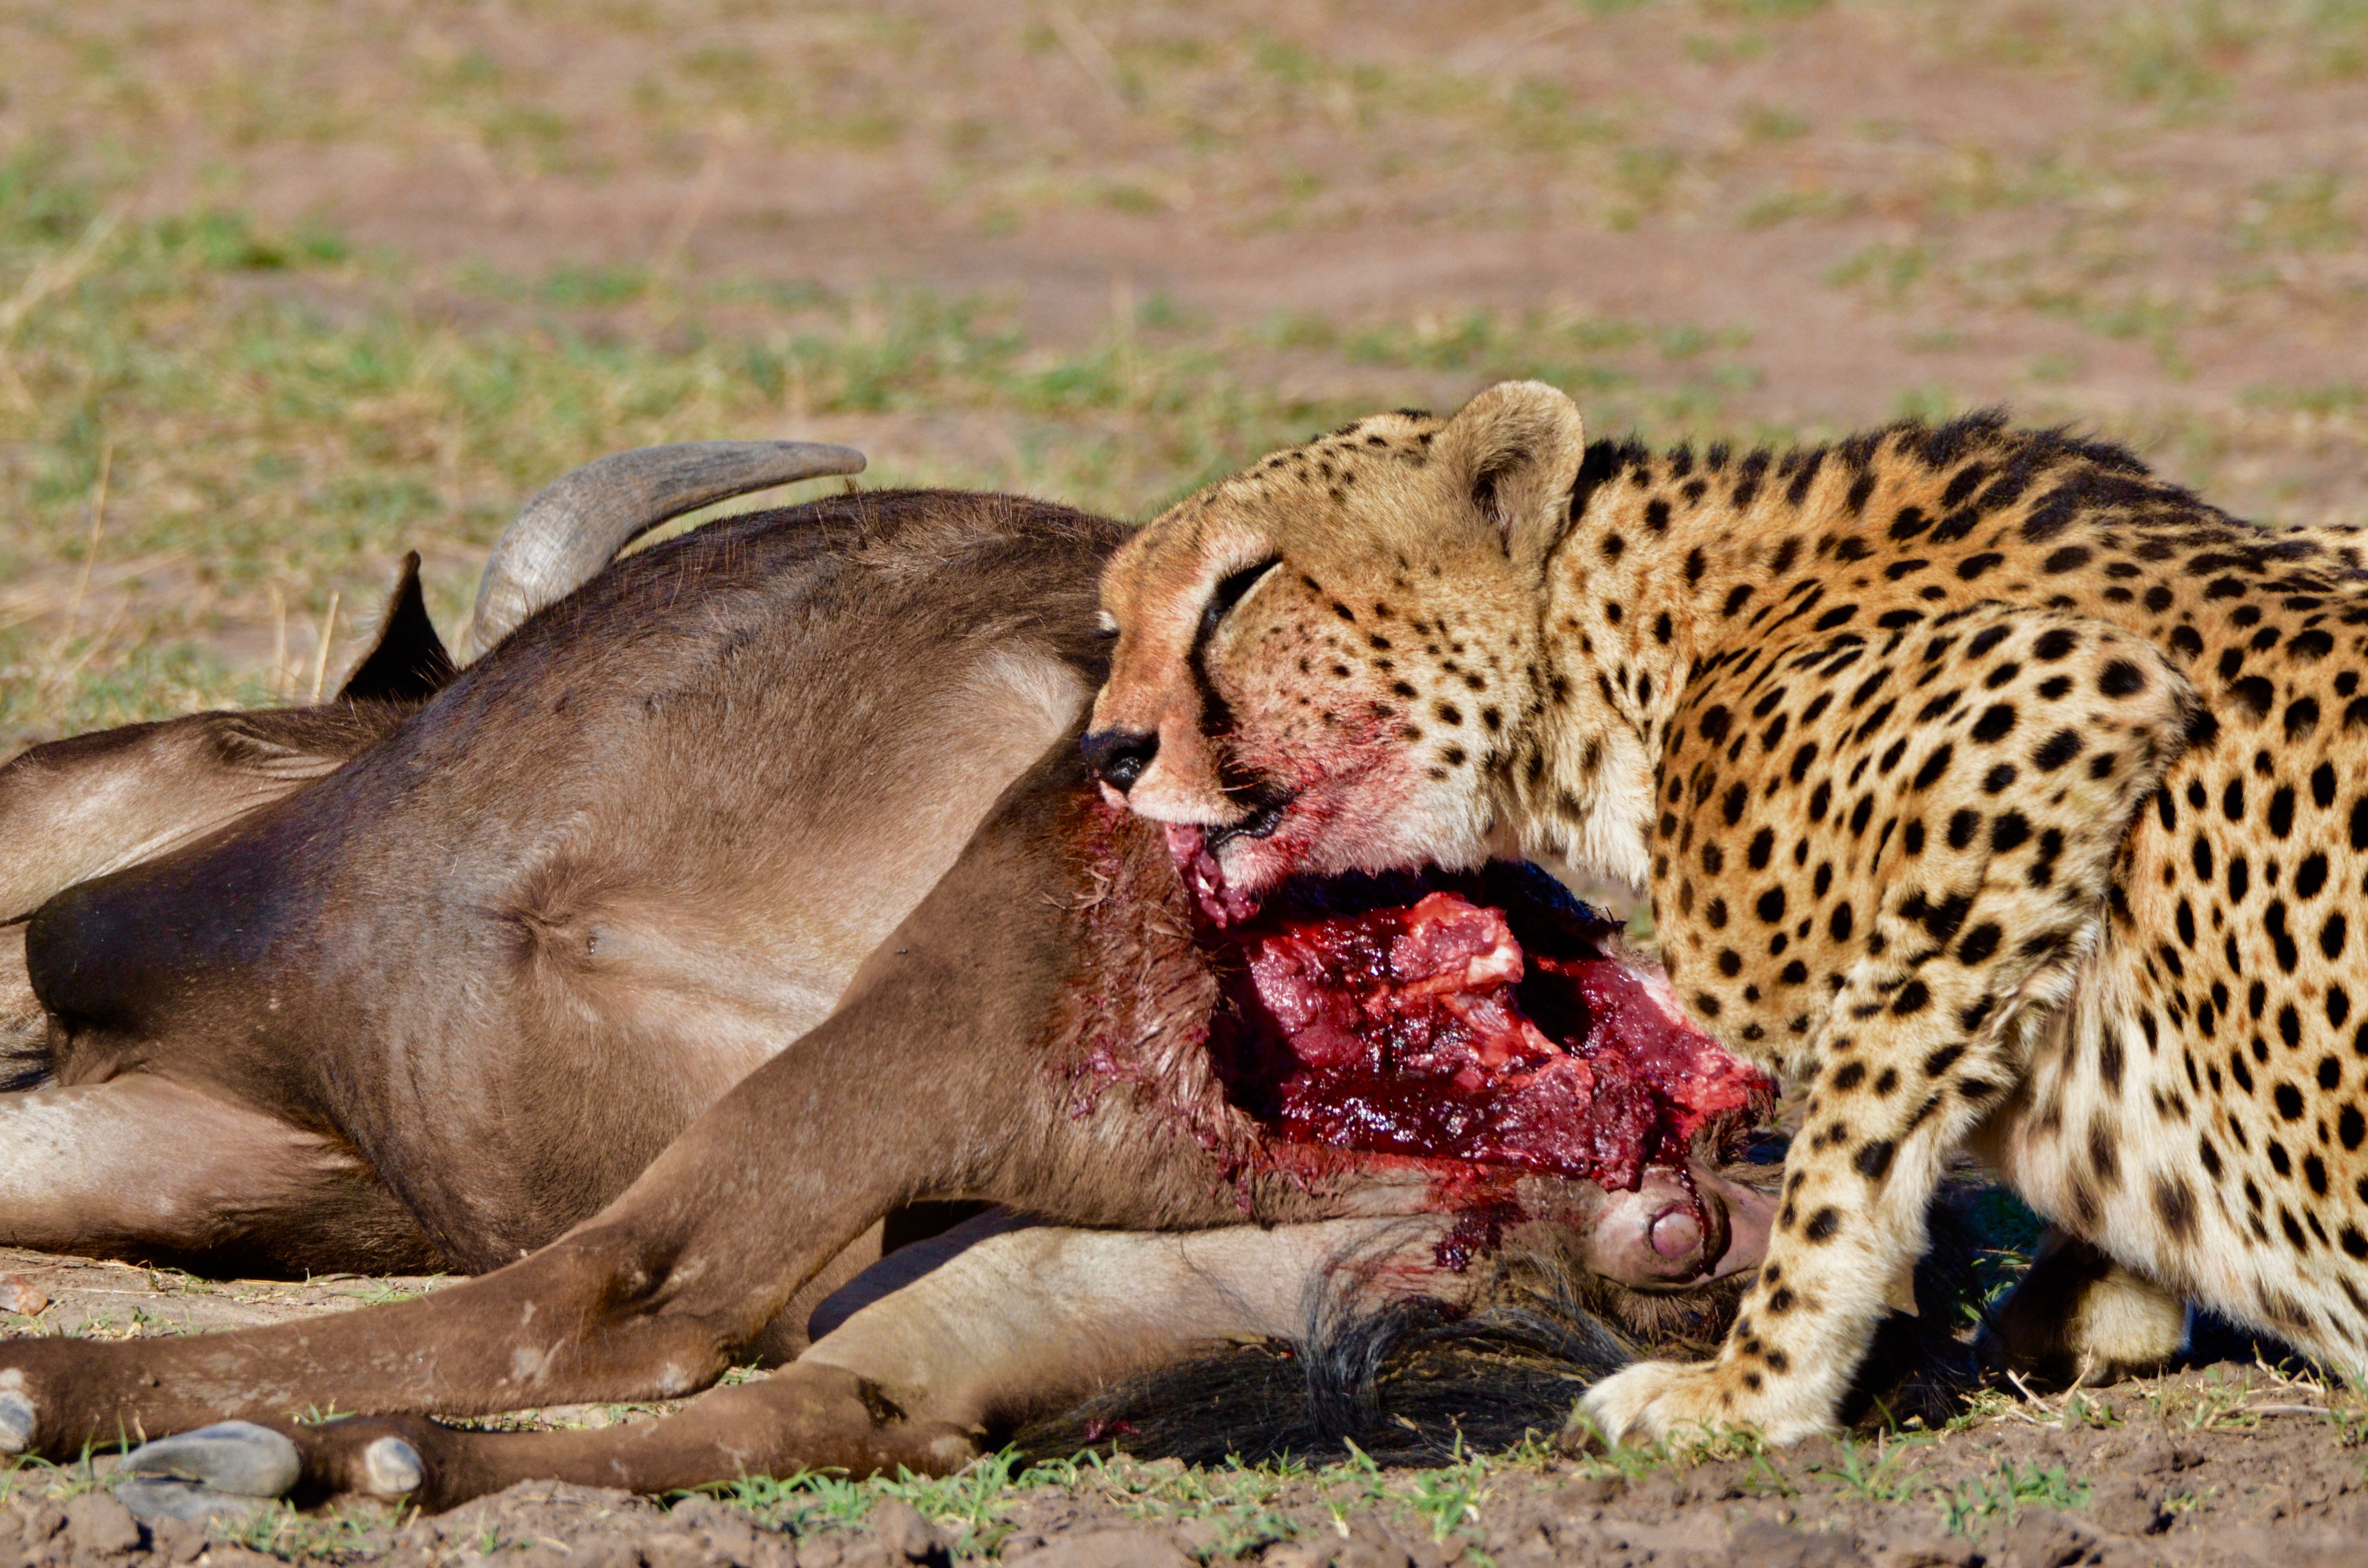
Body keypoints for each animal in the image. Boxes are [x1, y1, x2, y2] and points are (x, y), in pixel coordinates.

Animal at [1085, 383, 2368, 1449]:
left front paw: (1754, 1391)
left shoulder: (2061, 705)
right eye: (1112, 622)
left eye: (1242, 586)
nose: (1109, 752)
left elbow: (1850, 1144)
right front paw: (2091, 1312)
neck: (1632, 656)